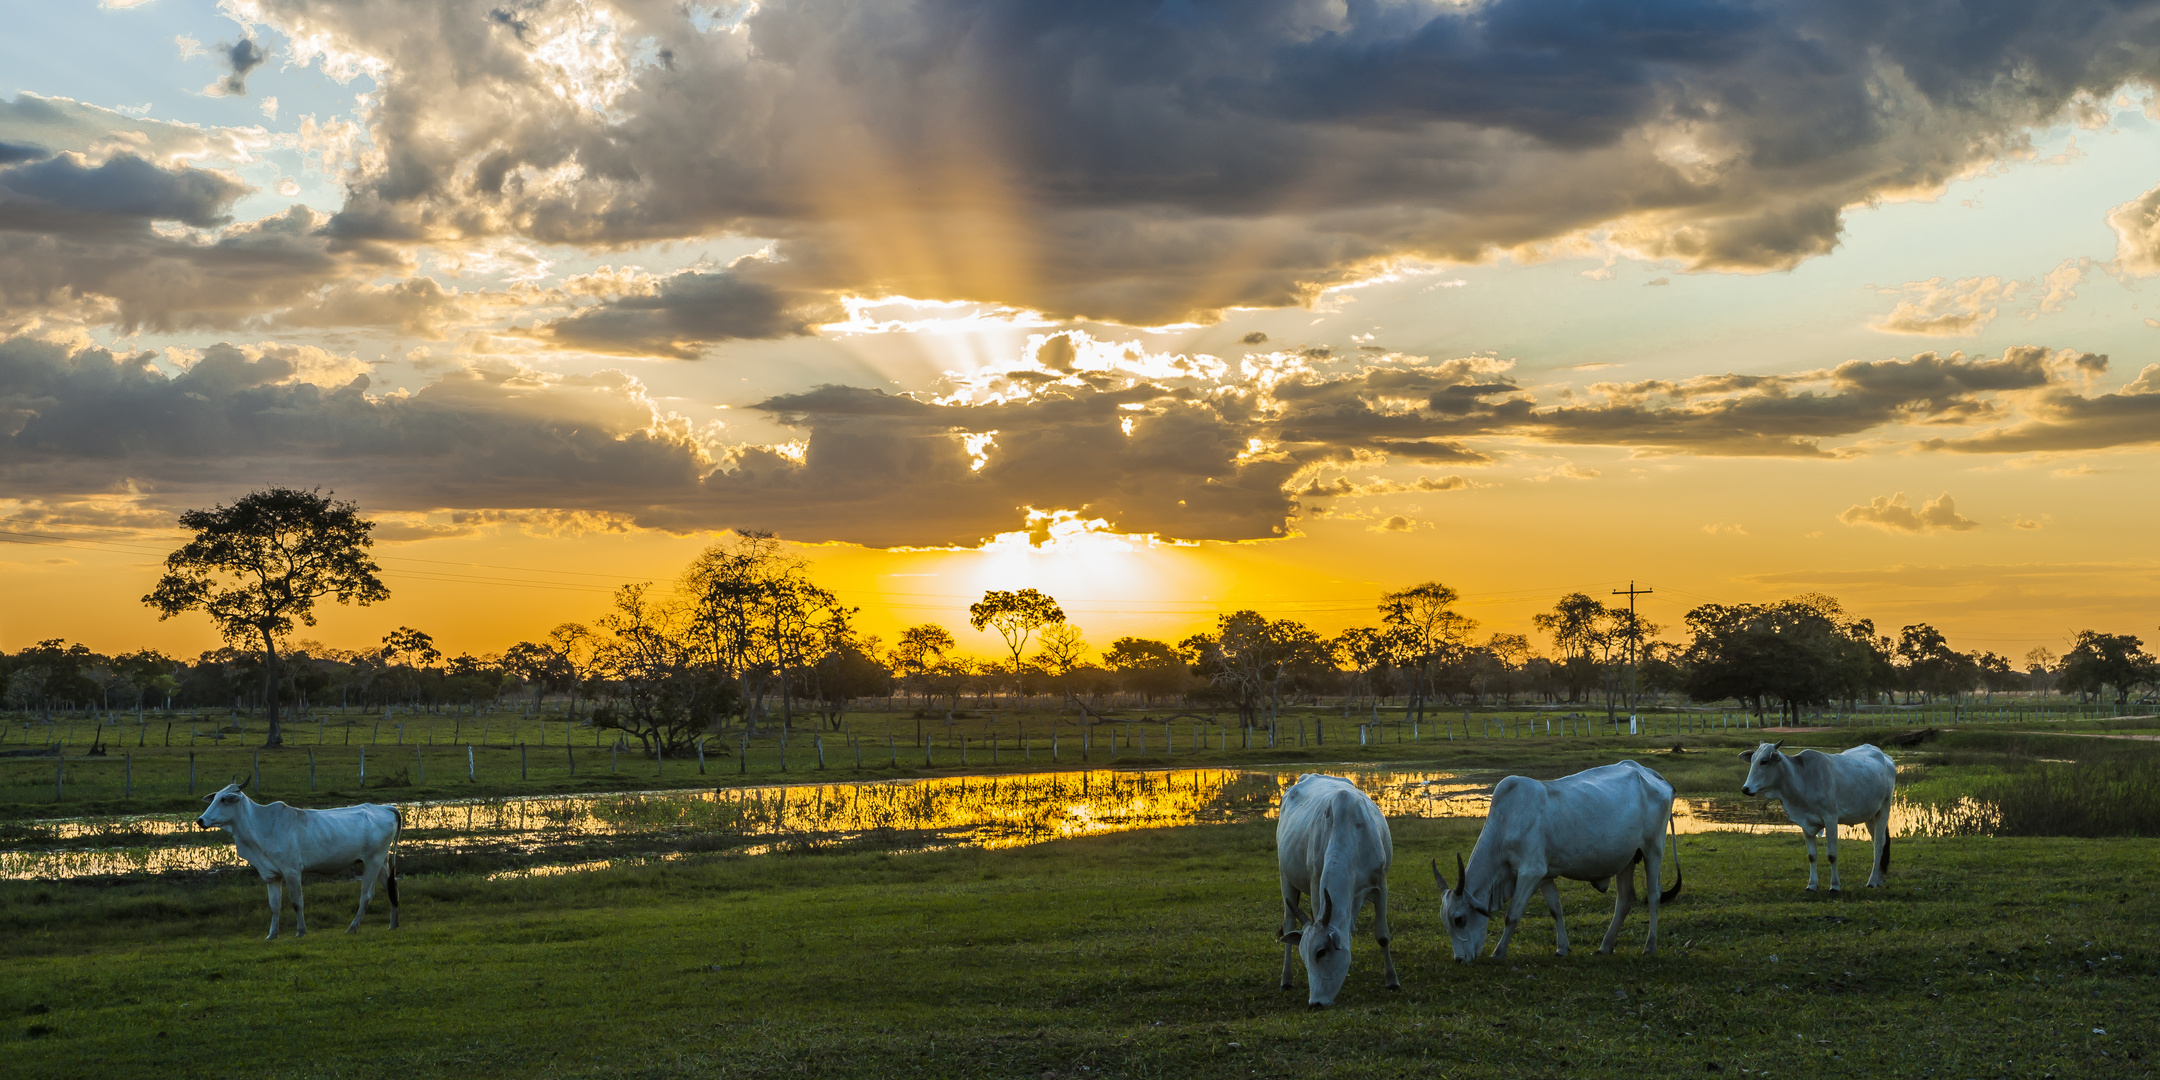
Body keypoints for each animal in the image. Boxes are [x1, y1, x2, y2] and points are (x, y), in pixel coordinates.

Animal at [195, 781, 406, 941]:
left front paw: (301, 931)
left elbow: (297, 902)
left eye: (224, 799)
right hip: (381, 862)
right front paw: (272, 935)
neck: (260, 825)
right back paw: (393, 925)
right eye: (215, 797)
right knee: (392, 888)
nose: (200, 820)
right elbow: (274, 906)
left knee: (367, 895)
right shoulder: (272, 876)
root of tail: (384, 807)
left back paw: (353, 927)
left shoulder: (292, 871)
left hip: (373, 861)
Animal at [1261, 773, 1399, 1006]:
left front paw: (1392, 981)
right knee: (1288, 923)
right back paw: (1286, 980)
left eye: (1321, 952)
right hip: (1285, 877)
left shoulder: (1380, 885)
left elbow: (1382, 935)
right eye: (1304, 957)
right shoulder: (1317, 883)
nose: (1315, 1002)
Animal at [1434, 760, 1684, 963]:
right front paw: (1562, 949)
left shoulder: (1530, 872)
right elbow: (1556, 910)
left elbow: (1512, 915)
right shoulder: (1544, 876)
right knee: (1625, 899)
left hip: (1653, 848)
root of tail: (1647, 772)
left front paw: (1498, 952)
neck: (1504, 825)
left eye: (1459, 919)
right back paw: (1605, 946)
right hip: (1627, 858)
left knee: (1653, 894)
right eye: (1445, 922)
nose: (1459, 960)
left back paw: (1649, 946)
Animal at [1736, 738, 1892, 889]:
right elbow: (1812, 856)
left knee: (1879, 844)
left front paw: (1834, 885)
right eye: (1752, 760)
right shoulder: (1805, 822)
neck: (1802, 778)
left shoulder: (1830, 818)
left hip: (1884, 808)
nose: (1745, 788)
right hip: (1870, 815)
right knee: (1877, 842)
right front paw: (1811, 884)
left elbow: (1832, 855)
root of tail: (1885, 757)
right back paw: (1879, 879)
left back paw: (1872, 881)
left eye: (1764, 761)